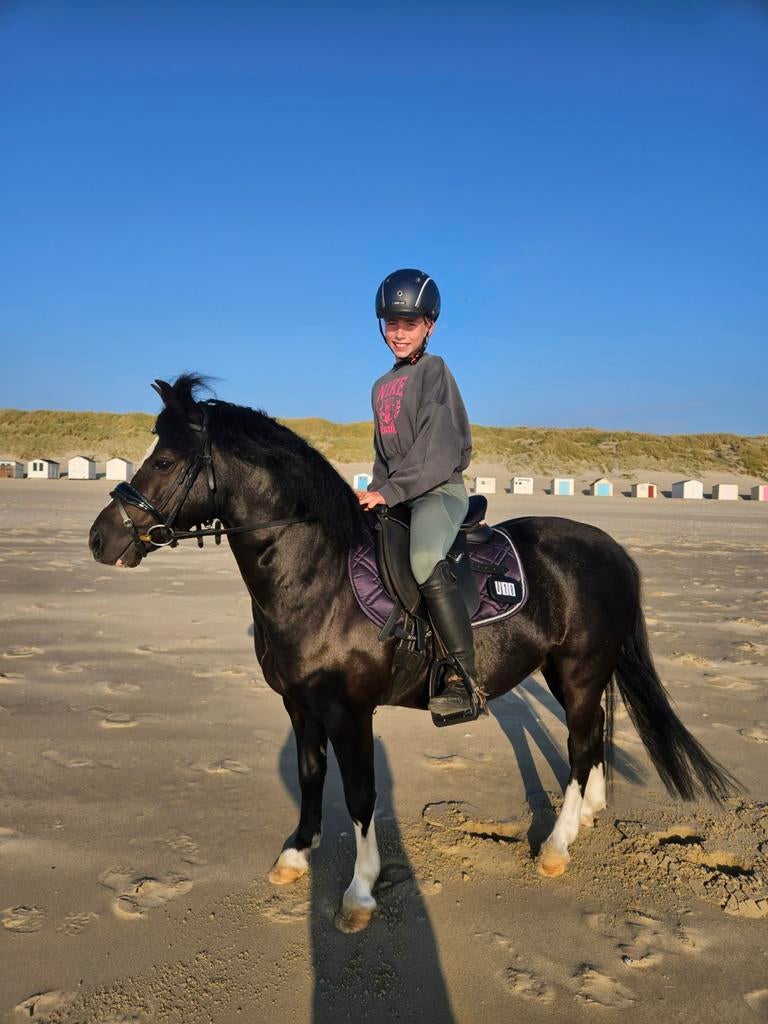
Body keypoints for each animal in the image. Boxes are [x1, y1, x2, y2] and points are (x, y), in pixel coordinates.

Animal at [88, 374, 738, 933]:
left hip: (577, 671)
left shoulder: (350, 713)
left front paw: (359, 892)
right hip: (571, 673)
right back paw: (588, 817)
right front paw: (296, 855)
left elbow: (360, 795)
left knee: (580, 744)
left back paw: (557, 846)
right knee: (594, 732)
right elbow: (309, 775)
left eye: (164, 461)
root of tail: (611, 547)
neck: (318, 575)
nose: (100, 538)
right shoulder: (299, 706)